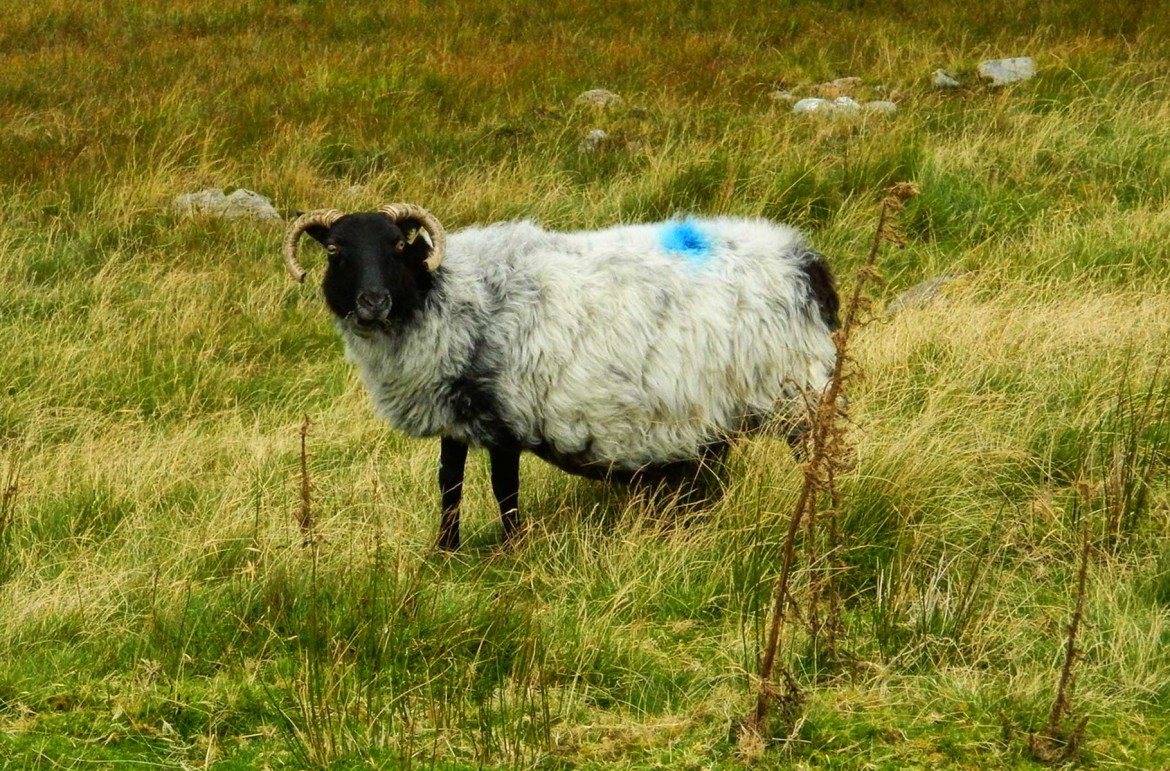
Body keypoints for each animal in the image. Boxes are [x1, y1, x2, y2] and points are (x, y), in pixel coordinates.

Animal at [279, 203, 837, 549]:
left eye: (398, 246)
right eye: (334, 252)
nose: (372, 302)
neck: (447, 295)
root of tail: (806, 262)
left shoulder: (505, 417)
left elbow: (504, 489)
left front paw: (511, 549)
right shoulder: (455, 418)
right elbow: (449, 485)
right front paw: (445, 551)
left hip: (797, 391)